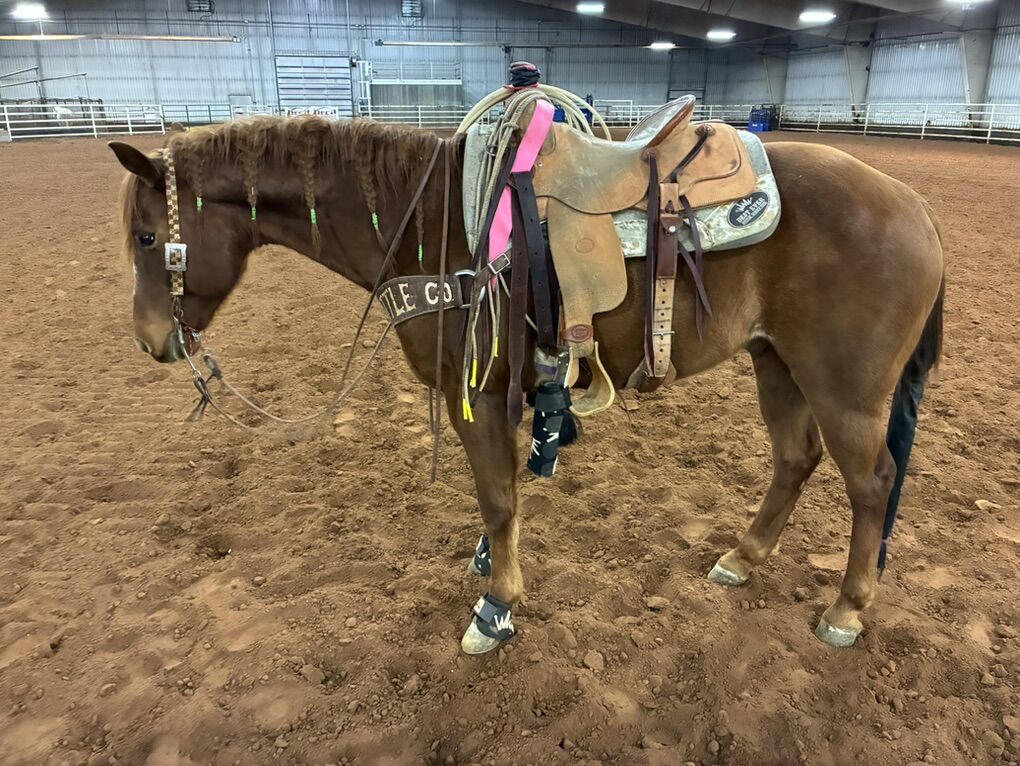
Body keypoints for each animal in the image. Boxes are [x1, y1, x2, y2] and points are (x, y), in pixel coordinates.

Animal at [110, 114, 944, 656]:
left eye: (149, 237)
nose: (152, 341)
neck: (431, 223)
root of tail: (915, 205)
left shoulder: (475, 393)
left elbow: (499, 497)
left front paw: (495, 608)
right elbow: (503, 492)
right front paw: (490, 566)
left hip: (846, 390)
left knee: (872, 483)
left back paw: (847, 610)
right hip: (778, 363)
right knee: (794, 460)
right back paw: (742, 558)